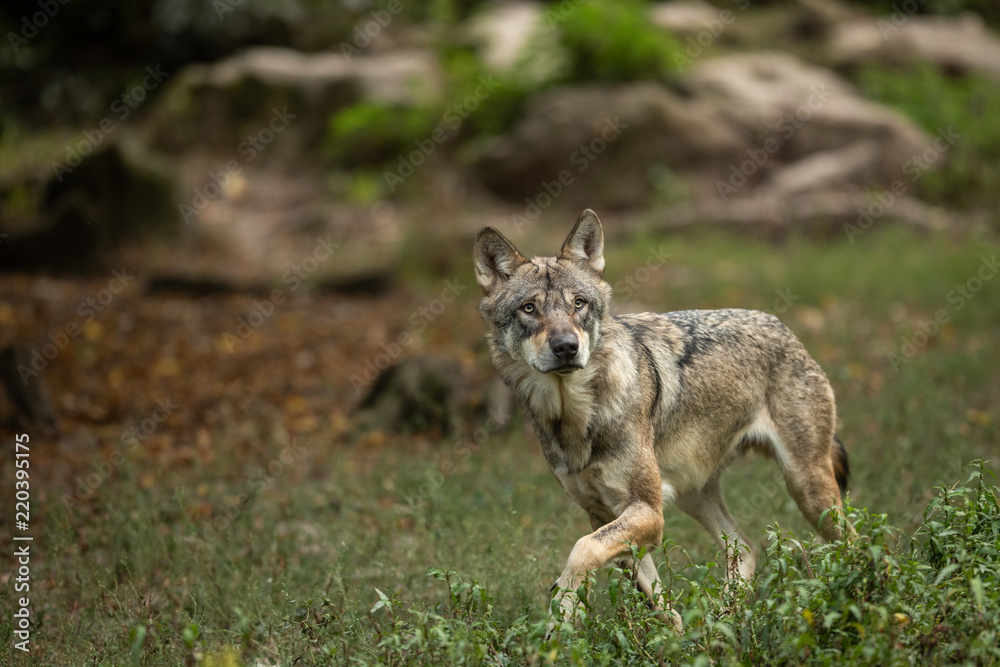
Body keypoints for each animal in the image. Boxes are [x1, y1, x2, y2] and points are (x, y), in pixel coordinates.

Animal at [472, 211, 848, 628]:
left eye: (579, 304)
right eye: (529, 308)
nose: (567, 347)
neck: (577, 417)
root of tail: (782, 326)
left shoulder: (648, 512)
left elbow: (582, 550)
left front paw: (563, 610)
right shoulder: (605, 514)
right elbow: (655, 598)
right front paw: (676, 637)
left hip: (807, 489)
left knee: (855, 542)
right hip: (694, 496)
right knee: (746, 548)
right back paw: (723, 621)